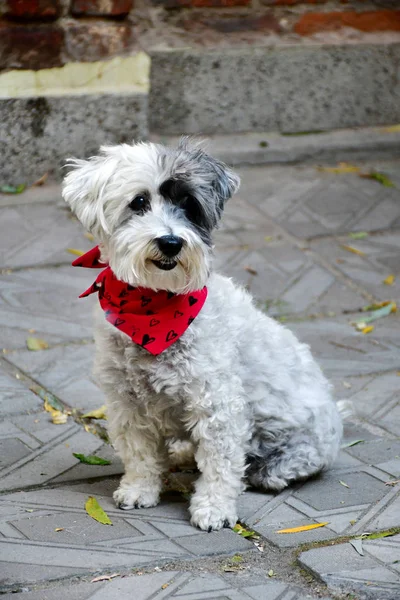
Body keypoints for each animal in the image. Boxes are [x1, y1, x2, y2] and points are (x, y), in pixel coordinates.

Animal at [63, 139, 344, 528]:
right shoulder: (126, 402)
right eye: (139, 202)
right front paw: (140, 488)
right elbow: (139, 453)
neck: (152, 307)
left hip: (303, 435)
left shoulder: (217, 403)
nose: (171, 242)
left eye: (189, 206)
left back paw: (272, 468)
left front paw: (213, 508)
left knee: (299, 459)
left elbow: (220, 464)